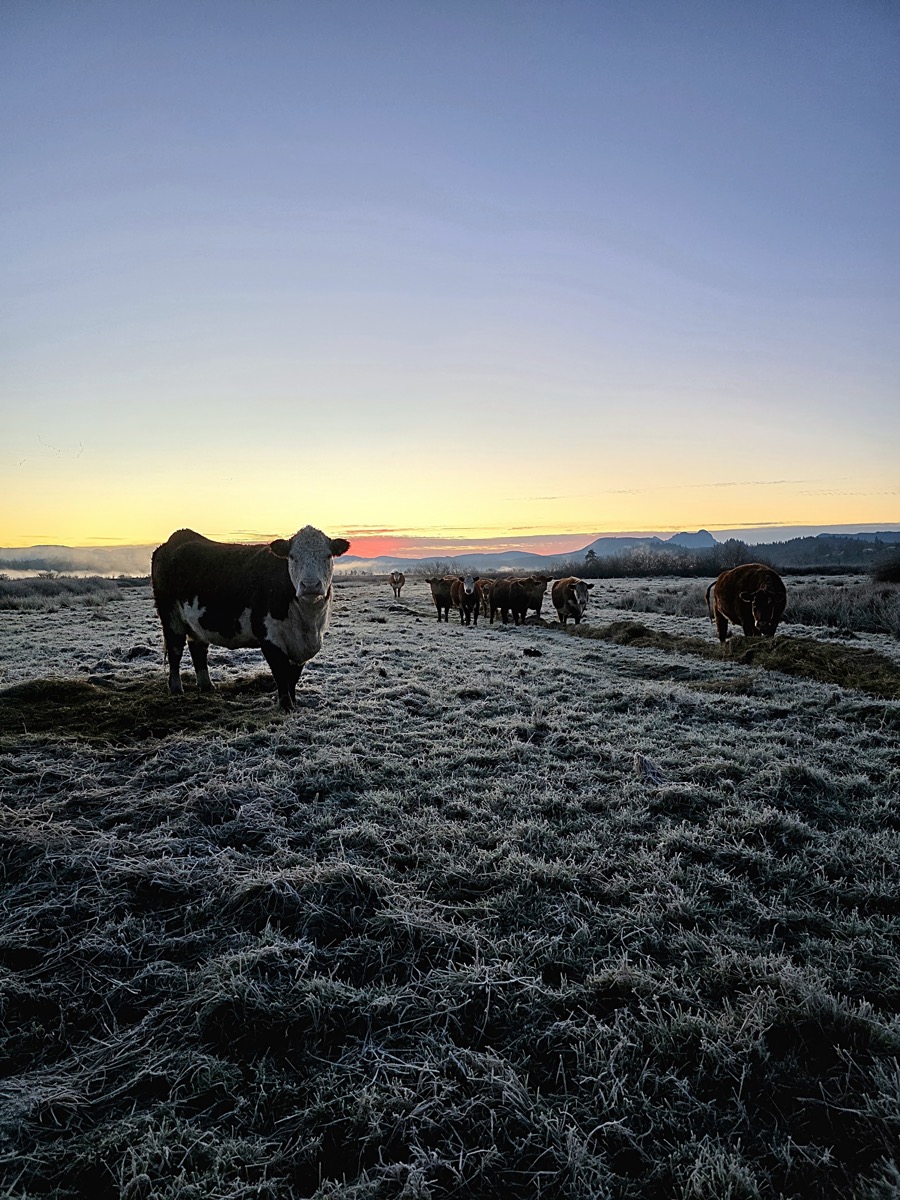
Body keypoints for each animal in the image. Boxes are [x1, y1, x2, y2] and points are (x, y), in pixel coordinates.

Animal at [151, 526, 350, 712]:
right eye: (292, 556)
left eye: (328, 555)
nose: (310, 585)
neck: (308, 623)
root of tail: (177, 538)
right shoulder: (269, 639)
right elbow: (281, 674)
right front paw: (285, 706)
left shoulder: (301, 647)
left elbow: (293, 677)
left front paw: (293, 704)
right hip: (170, 616)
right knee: (175, 650)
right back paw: (176, 688)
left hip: (196, 622)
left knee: (198, 649)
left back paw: (207, 686)